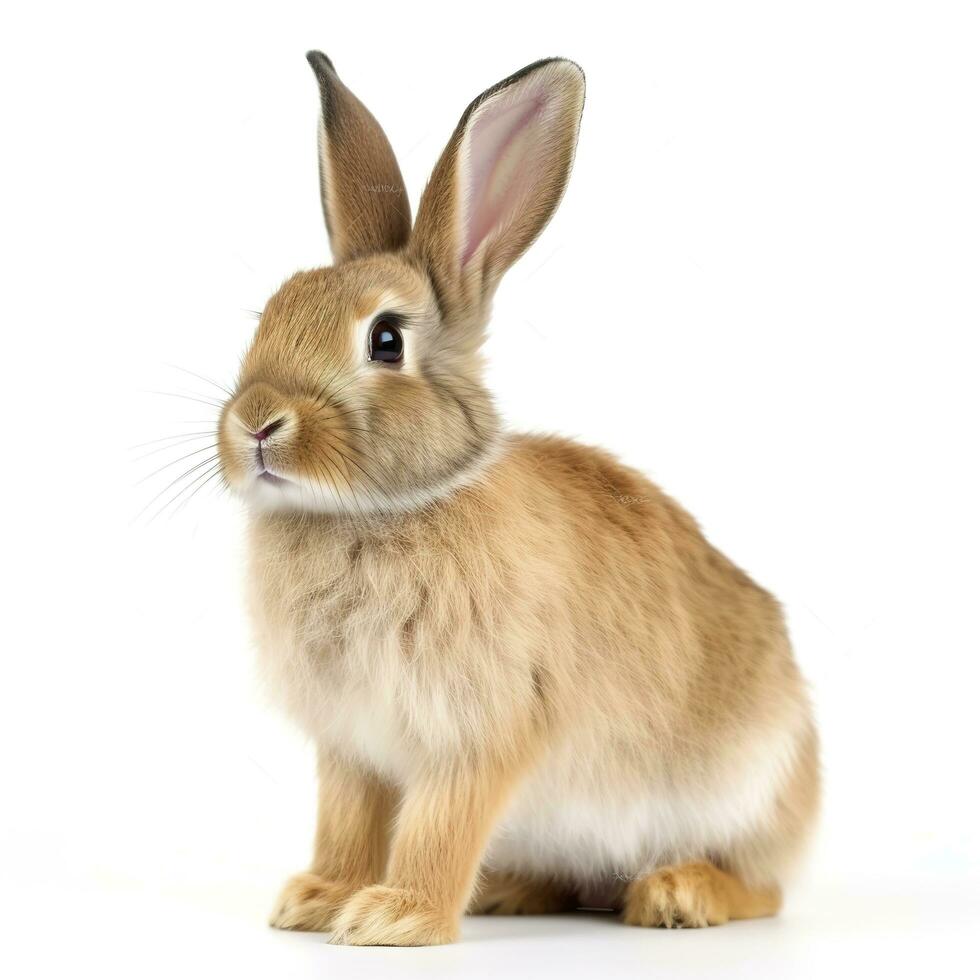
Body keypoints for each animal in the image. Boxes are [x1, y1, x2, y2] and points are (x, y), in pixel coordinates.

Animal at [214, 49, 820, 944]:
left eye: (385, 340)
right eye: (270, 313)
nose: (255, 423)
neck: (379, 508)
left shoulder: (480, 728)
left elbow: (441, 825)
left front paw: (397, 916)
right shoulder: (350, 749)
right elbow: (347, 822)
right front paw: (318, 898)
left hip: (748, 789)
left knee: (764, 886)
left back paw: (677, 895)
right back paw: (510, 890)